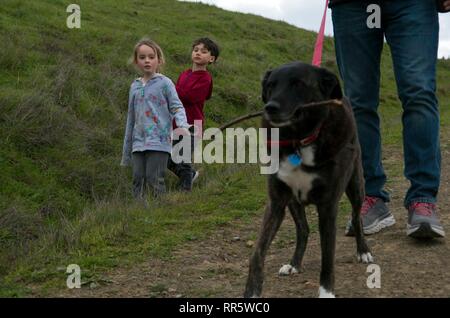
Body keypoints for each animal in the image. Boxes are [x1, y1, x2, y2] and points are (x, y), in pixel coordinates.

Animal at [246, 62, 372, 298]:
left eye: (298, 84)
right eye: (270, 85)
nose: (270, 107)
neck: (299, 140)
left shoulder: (328, 206)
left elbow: (327, 257)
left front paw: (326, 292)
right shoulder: (276, 202)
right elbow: (257, 253)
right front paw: (252, 292)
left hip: (356, 187)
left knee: (357, 216)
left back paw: (363, 251)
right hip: (294, 201)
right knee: (303, 230)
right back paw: (294, 263)